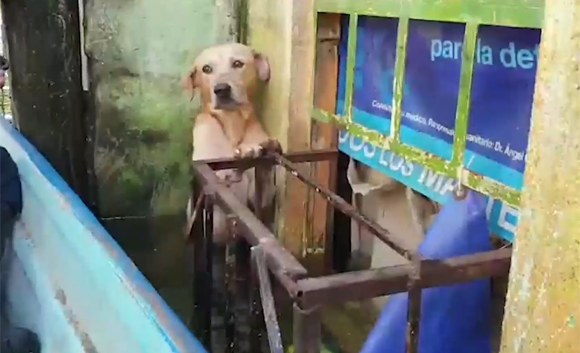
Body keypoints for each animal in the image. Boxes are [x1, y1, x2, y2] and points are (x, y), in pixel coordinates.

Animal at [184, 43, 278, 242]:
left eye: (237, 63)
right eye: (206, 69)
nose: (221, 89)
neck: (232, 123)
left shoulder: (259, 198)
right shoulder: (207, 190)